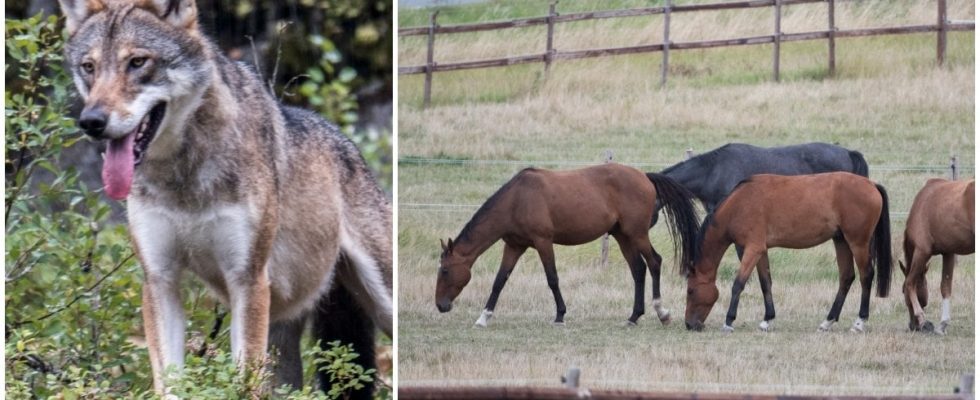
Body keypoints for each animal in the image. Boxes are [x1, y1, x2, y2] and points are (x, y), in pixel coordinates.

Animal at [57, 0, 392, 396]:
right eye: (89, 67)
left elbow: (243, 384)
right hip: (283, 348)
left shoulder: (246, 280)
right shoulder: (160, 280)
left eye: (137, 62)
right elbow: (169, 382)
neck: (182, 179)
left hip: (377, 300)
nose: (91, 121)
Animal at [432, 163, 700, 328]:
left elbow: (552, 278)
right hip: (622, 236)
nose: (440, 306)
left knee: (654, 262)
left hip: (637, 234)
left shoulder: (543, 242)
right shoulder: (514, 246)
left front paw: (560, 315)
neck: (517, 199)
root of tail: (644, 176)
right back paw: (634, 316)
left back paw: (661, 312)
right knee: (638, 270)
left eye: (444, 270)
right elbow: (500, 281)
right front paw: (484, 317)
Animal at [684, 172, 892, 332]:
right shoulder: (761, 251)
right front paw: (767, 320)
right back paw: (827, 322)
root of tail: (871, 184)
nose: (689, 325)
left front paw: (729, 321)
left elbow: (738, 284)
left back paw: (859, 322)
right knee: (846, 277)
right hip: (841, 241)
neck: (739, 204)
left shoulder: (752, 249)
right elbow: (765, 283)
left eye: (690, 290)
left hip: (858, 243)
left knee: (866, 276)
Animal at [904, 179, 972, 334]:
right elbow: (945, 287)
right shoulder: (948, 253)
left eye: (903, 293)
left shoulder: (922, 252)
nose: (913, 326)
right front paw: (943, 325)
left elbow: (910, 283)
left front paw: (922, 318)